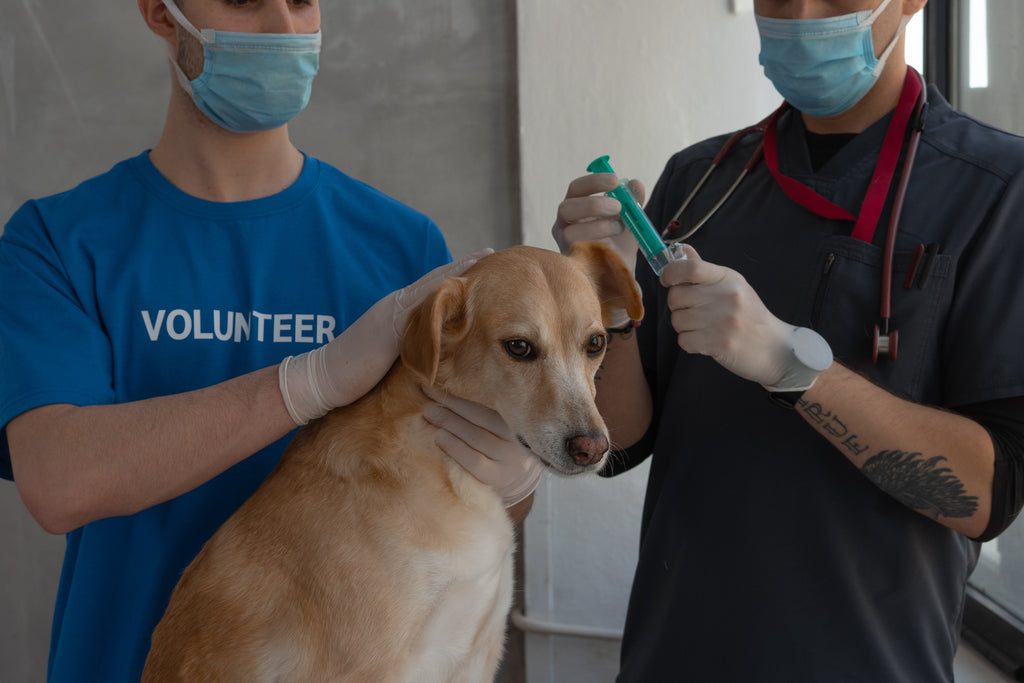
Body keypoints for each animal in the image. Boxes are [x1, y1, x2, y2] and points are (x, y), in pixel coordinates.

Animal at [141, 244, 643, 683]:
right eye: (519, 347)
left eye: (596, 343)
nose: (592, 448)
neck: (451, 475)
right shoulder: (364, 670)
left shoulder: (477, 652)